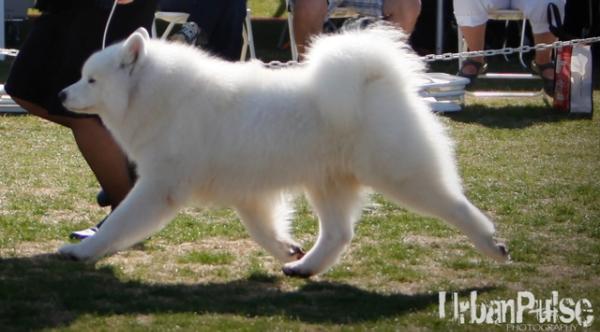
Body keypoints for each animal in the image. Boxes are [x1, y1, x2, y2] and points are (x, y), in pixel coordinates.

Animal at [58, 26, 508, 276]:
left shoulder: (159, 187)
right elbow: (262, 229)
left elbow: (119, 223)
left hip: (402, 177)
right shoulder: (247, 191)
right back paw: (304, 267)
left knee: (457, 206)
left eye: (91, 80)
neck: (161, 97)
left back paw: (492, 245)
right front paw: (286, 249)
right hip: (327, 184)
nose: (61, 93)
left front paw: (81, 251)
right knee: (339, 234)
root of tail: (380, 78)